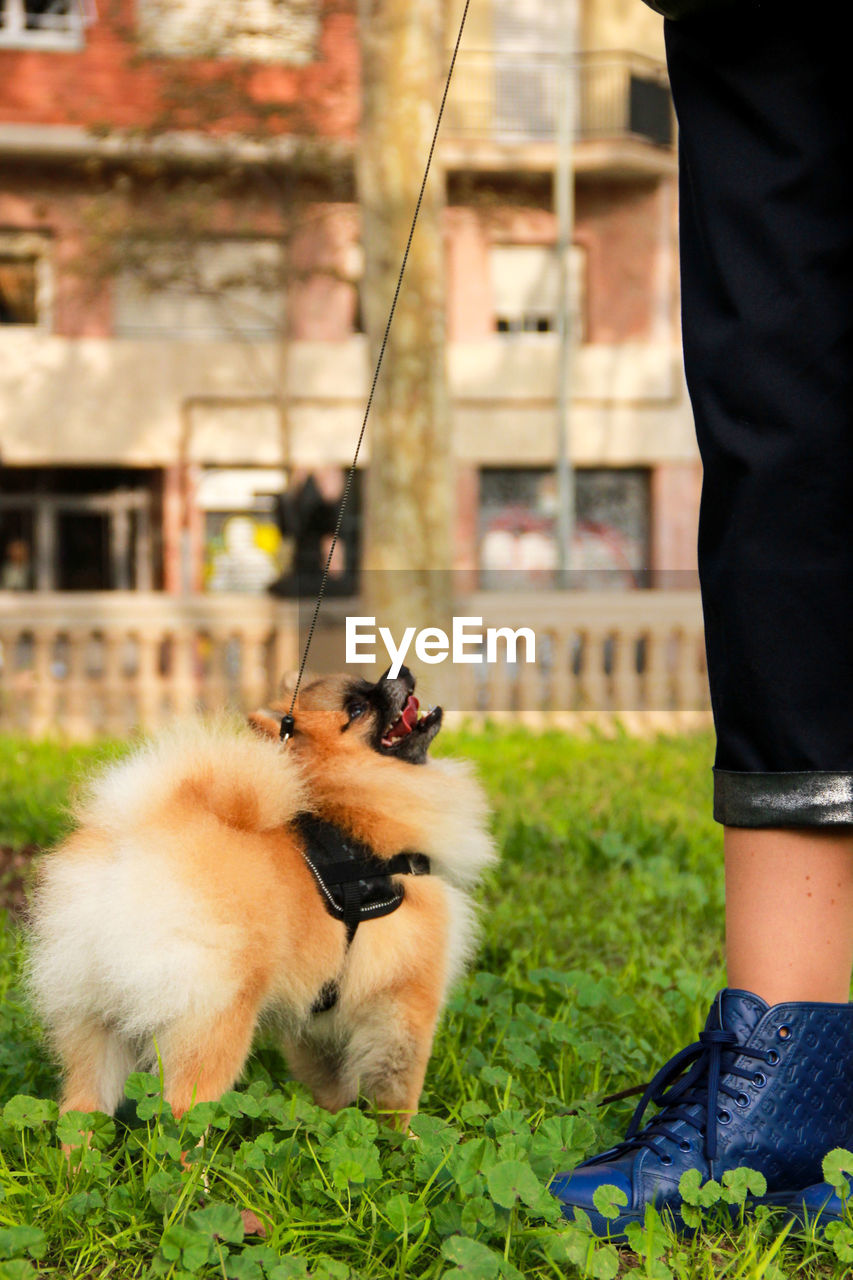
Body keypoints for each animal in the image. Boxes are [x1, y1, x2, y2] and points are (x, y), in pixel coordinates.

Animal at [26, 665, 491, 1126]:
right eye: (358, 707)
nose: (402, 670)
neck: (352, 814)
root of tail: (135, 836)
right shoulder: (407, 998)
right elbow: (398, 1089)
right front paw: (405, 1138)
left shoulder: (318, 1024)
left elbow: (332, 1085)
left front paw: (333, 1123)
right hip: (215, 1019)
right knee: (183, 1109)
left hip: (95, 1016)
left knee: (80, 1108)